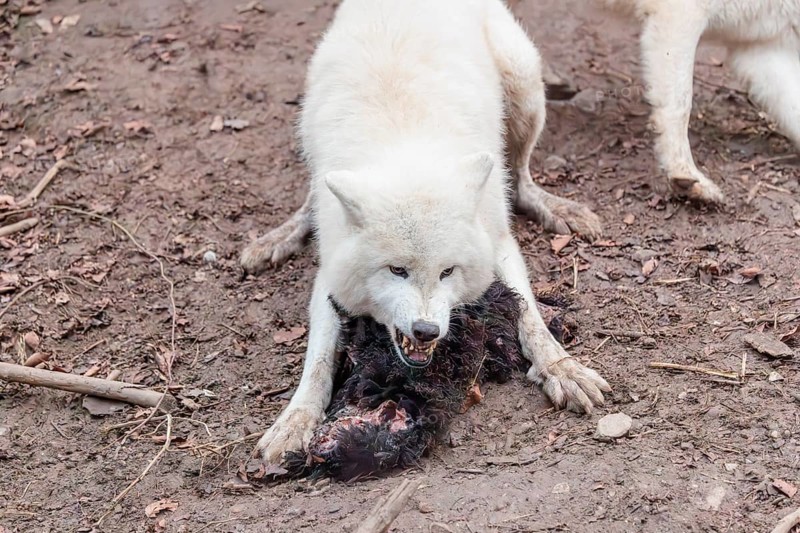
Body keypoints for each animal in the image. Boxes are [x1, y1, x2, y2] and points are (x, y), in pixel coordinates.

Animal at [243, 0, 610, 464]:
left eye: (447, 272)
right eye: (396, 270)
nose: (426, 332)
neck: (408, 151)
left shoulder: (498, 242)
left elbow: (530, 316)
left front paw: (562, 368)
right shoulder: (330, 272)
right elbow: (319, 359)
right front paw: (296, 420)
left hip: (523, 81)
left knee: (522, 176)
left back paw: (557, 207)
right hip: (309, 122)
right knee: (313, 189)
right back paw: (279, 236)